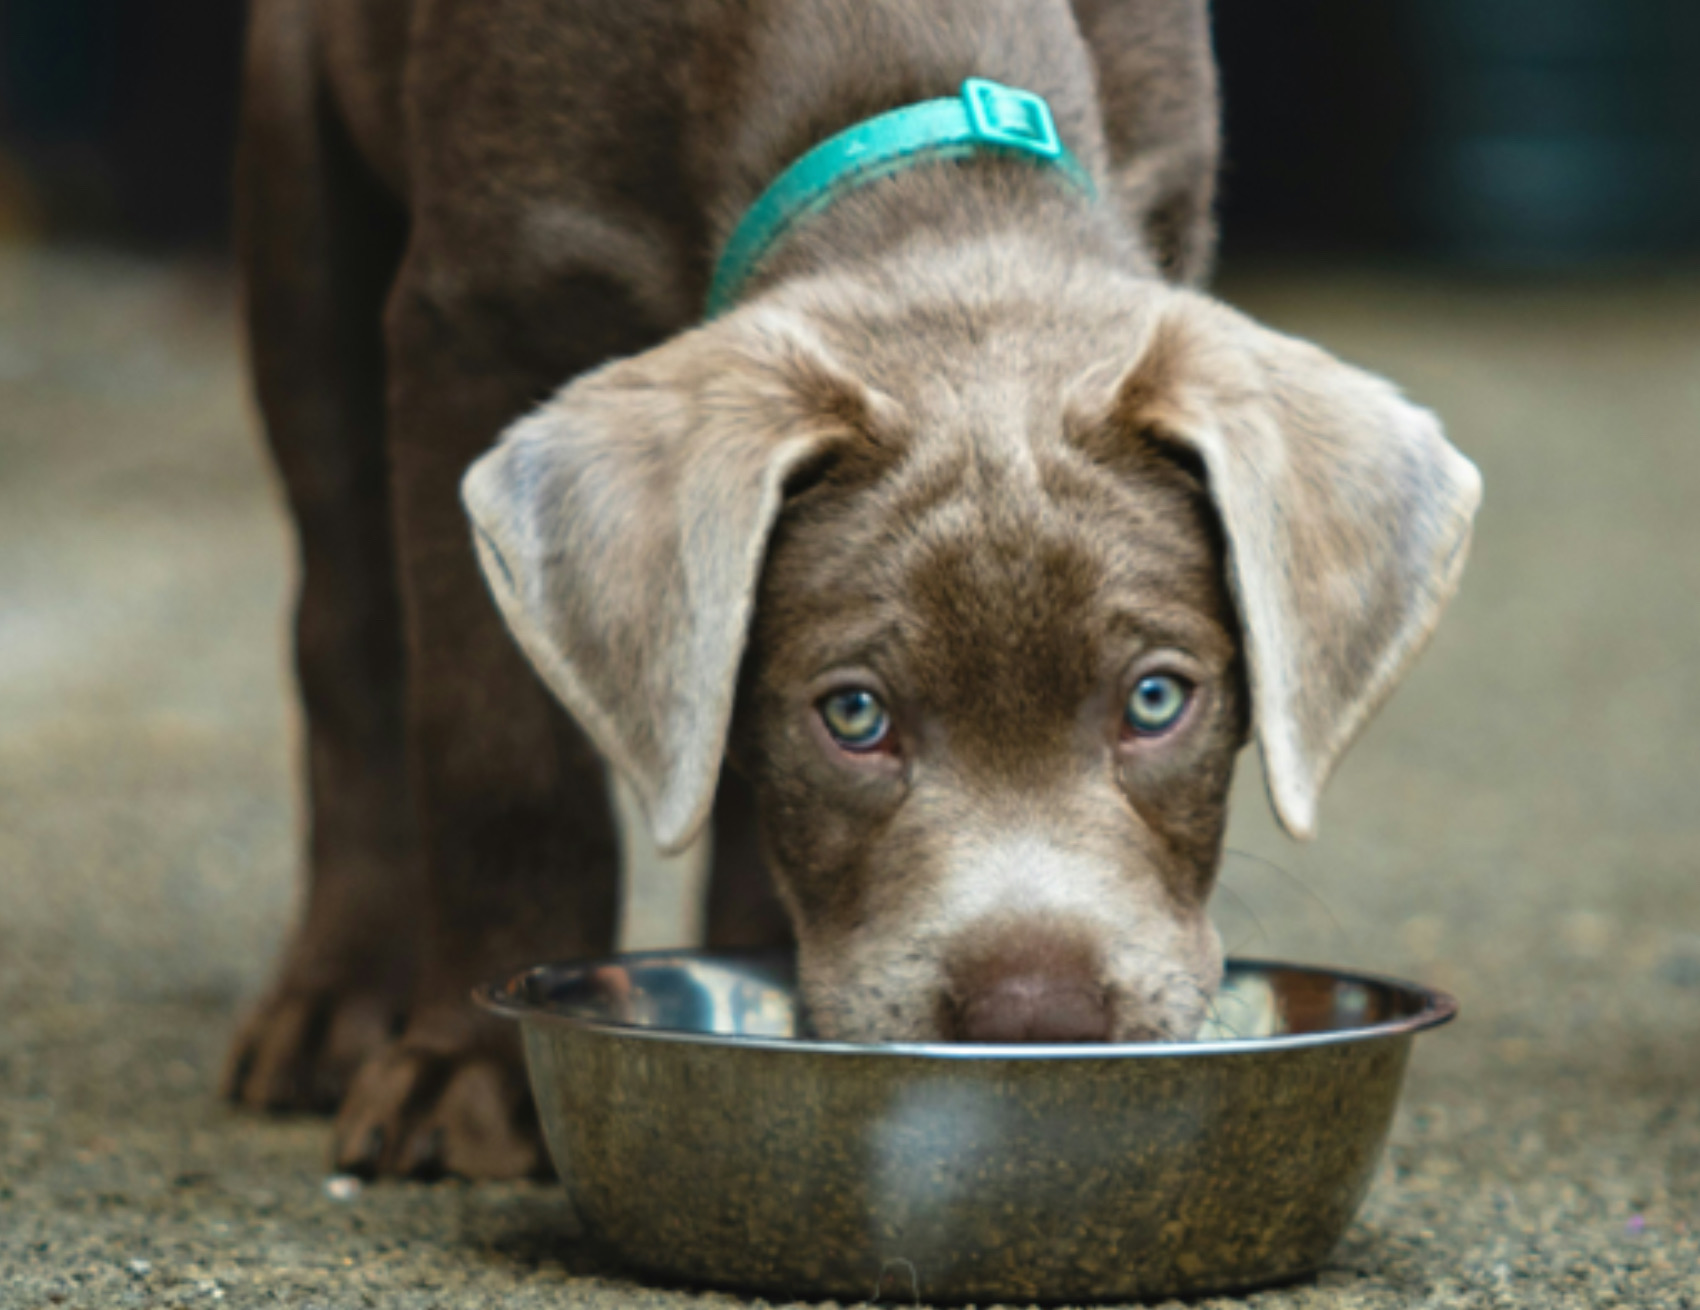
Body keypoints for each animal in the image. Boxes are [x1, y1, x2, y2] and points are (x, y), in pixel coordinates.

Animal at [226, 0, 1475, 1182]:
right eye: (856, 715)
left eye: (1155, 700)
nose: (1035, 1016)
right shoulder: (473, 316)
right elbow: (496, 751)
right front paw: (468, 1079)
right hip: (300, 183)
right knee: (344, 628)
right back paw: (334, 1005)